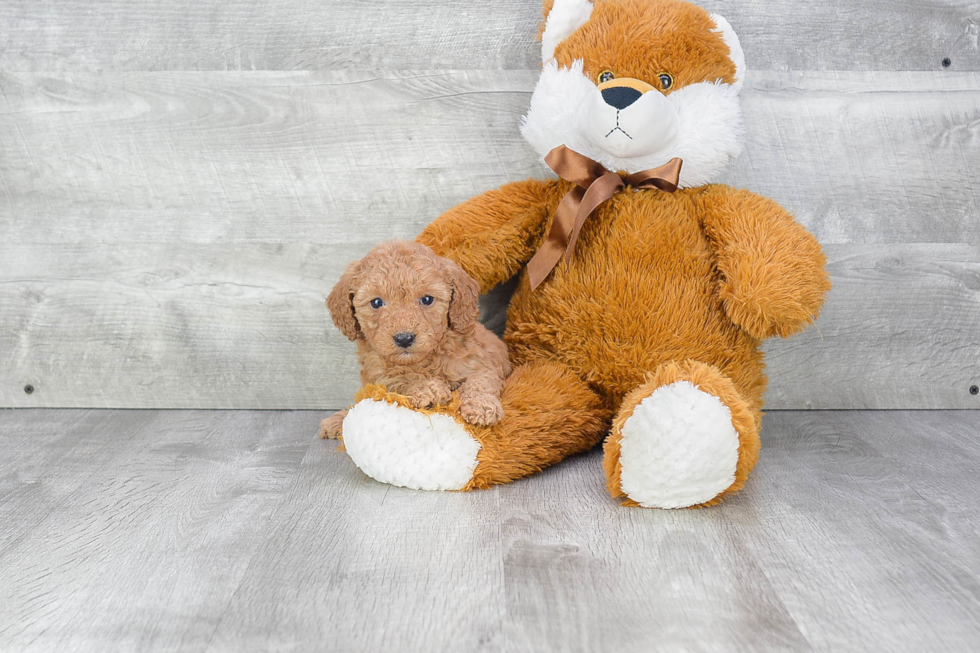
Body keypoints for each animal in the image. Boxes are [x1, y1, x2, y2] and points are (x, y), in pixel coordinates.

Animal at [320, 239, 512, 438]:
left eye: (427, 299)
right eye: (376, 302)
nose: (404, 338)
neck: (425, 360)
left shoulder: (479, 361)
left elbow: (481, 381)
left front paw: (482, 407)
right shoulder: (379, 375)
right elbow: (400, 377)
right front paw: (429, 388)